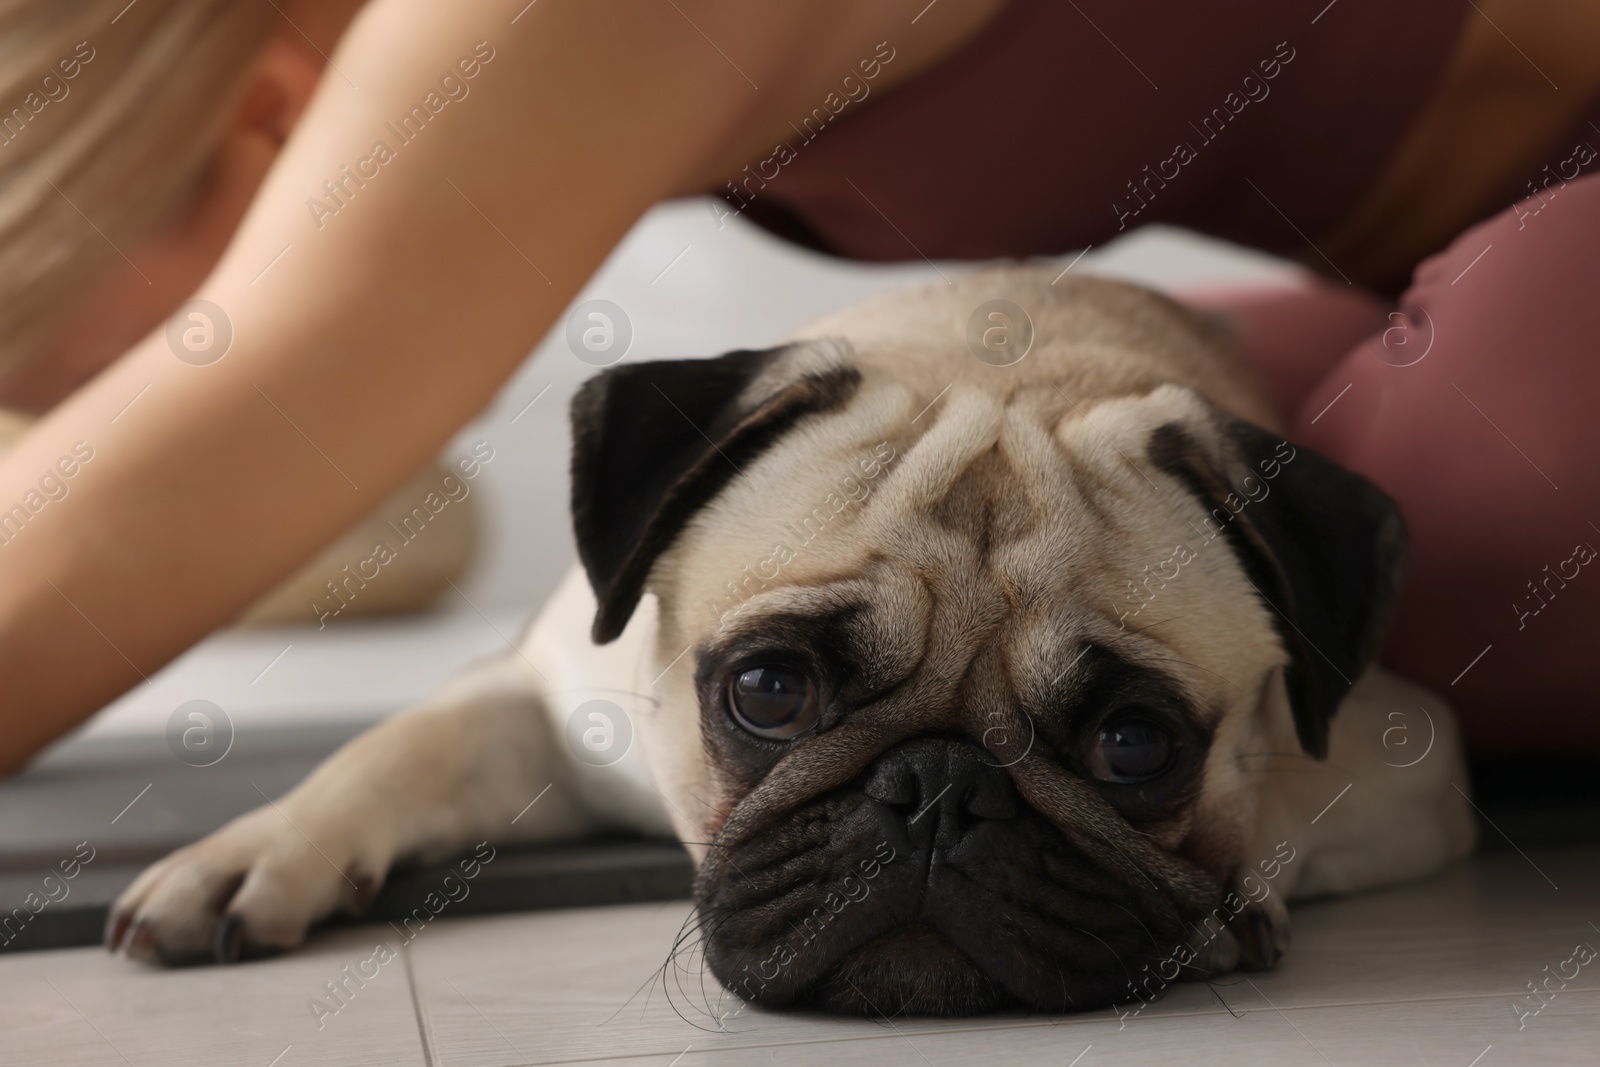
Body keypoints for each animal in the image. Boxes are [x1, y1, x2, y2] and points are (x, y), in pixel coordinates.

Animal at [103, 267, 1472, 1017]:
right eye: (767, 688)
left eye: (1135, 743)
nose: (939, 788)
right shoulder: (537, 701)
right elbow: (391, 752)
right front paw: (251, 850)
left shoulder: (1404, 747)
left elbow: (1282, 789)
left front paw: (1231, 899)